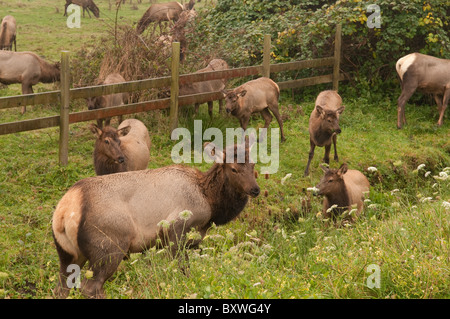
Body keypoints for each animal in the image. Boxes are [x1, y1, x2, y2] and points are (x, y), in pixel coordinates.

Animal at [51, 136, 260, 300]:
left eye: (253, 164)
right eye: (233, 169)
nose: (255, 189)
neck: (209, 202)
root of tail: (65, 210)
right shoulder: (175, 229)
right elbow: (183, 270)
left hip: (68, 253)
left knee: (61, 287)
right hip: (109, 246)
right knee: (90, 287)